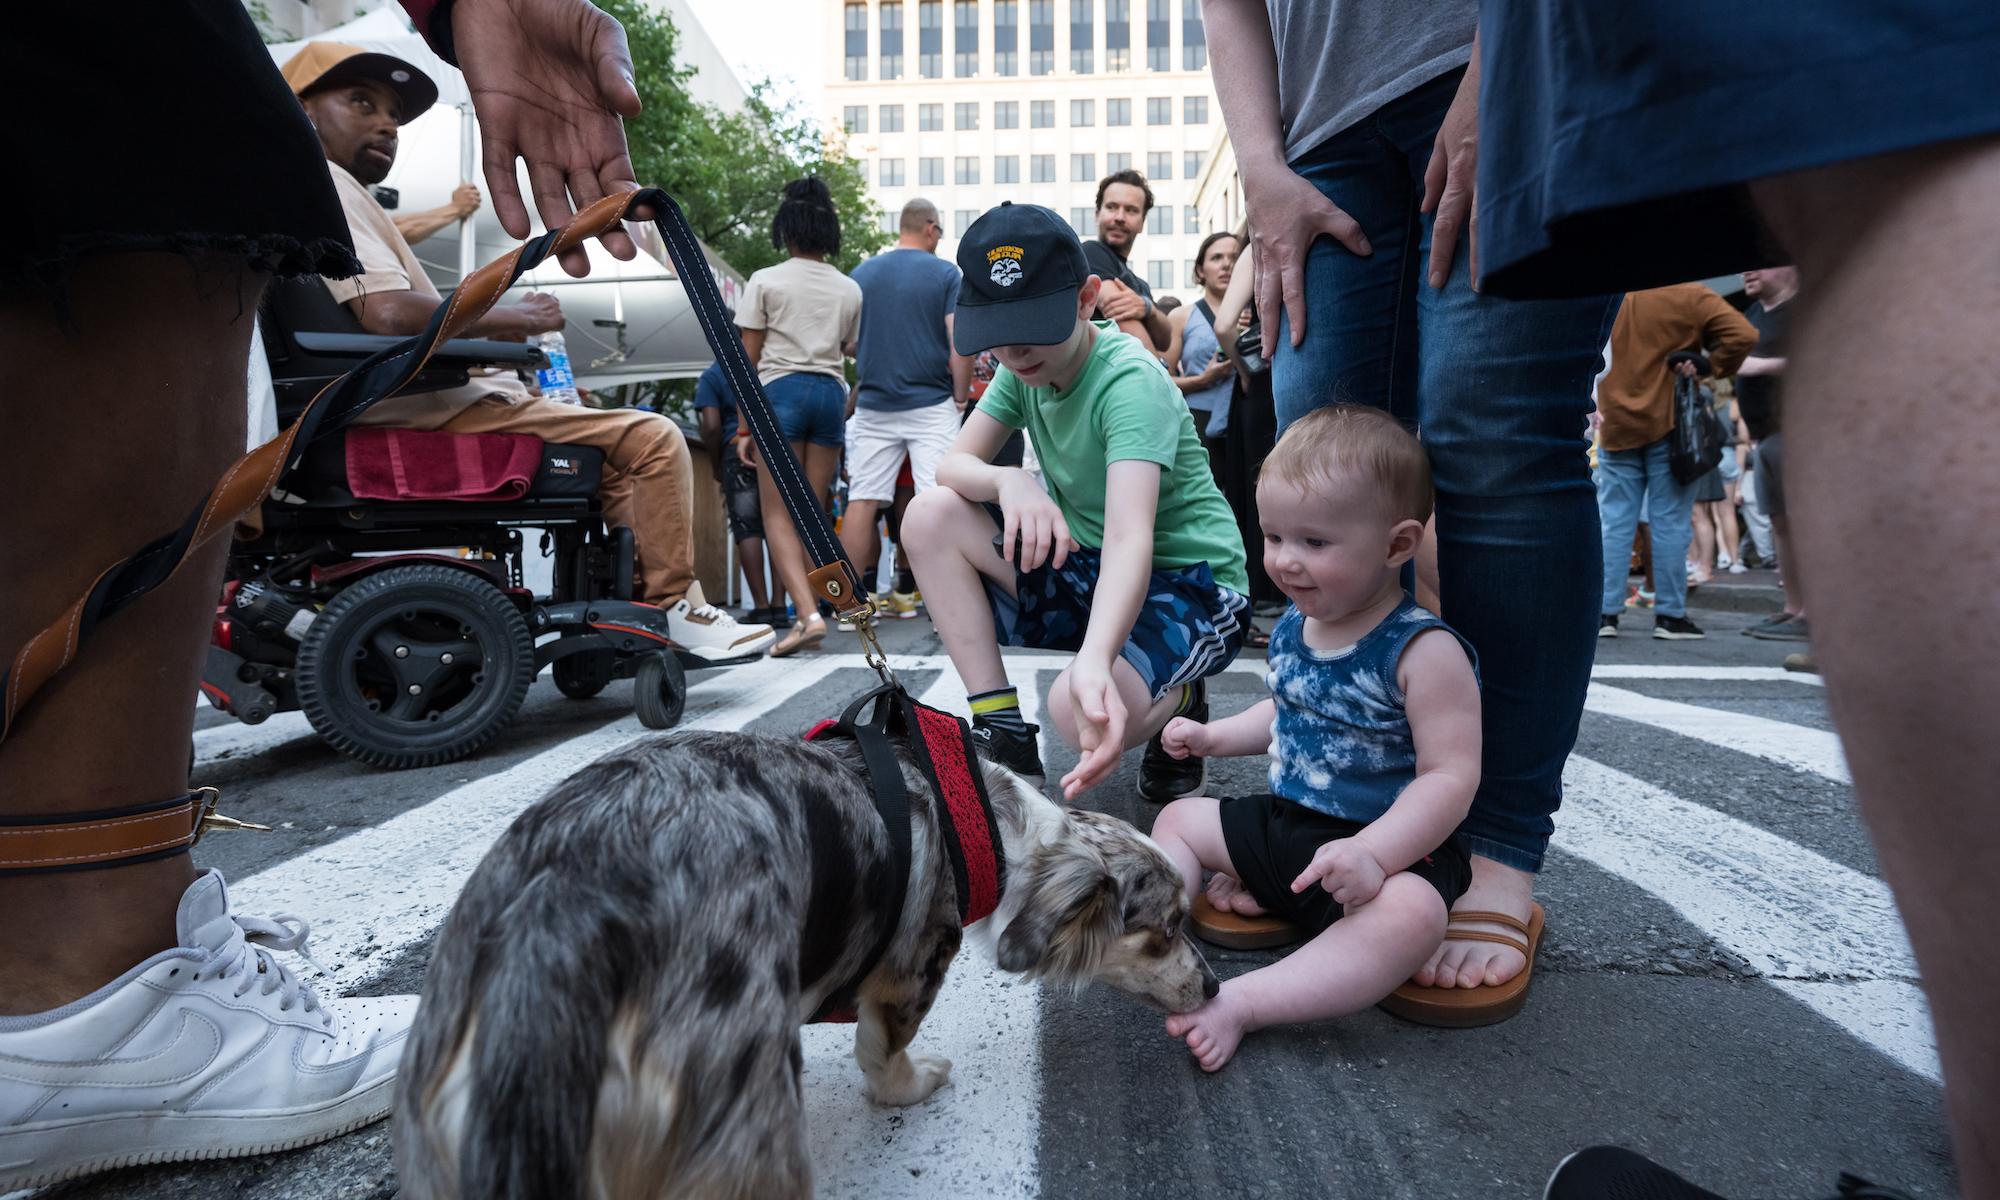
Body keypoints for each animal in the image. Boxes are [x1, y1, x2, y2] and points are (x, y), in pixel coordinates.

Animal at [386, 728, 1200, 1192]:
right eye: (1165, 931)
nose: (1213, 984)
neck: (999, 827)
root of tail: (563, 911)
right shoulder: (912, 968)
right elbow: (882, 1053)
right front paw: (910, 1087)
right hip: (753, 1116)